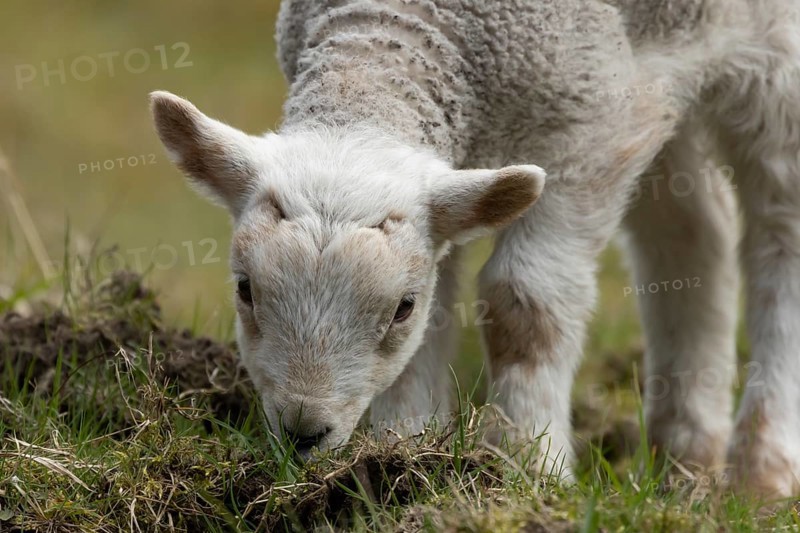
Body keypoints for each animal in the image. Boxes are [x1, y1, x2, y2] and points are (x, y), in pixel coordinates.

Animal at [151, 0, 800, 498]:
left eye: (400, 308)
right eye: (245, 290)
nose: (303, 433)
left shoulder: (590, 133)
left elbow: (524, 306)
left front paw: (528, 470)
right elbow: (435, 324)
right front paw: (400, 459)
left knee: (780, 235)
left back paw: (760, 476)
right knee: (696, 231)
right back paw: (684, 462)